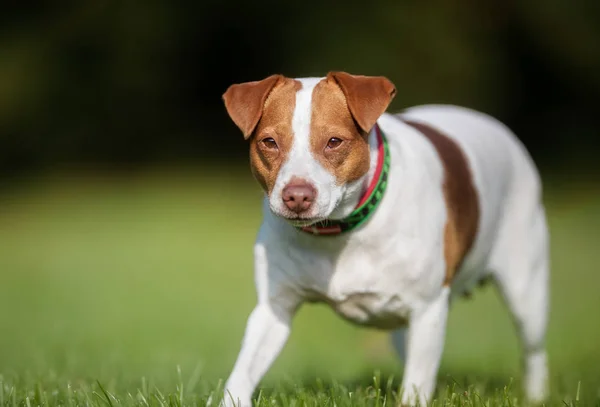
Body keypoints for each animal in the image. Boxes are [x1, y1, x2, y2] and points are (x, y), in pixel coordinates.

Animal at [219, 71, 548, 406]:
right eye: (269, 142)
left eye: (334, 142)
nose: (297, 195)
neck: (340, 232)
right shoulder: (273, 309)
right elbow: (242, 373)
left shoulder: (427, 310)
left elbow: (416, 384)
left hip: (525, 290)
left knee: (533, 351)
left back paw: (536, 395)